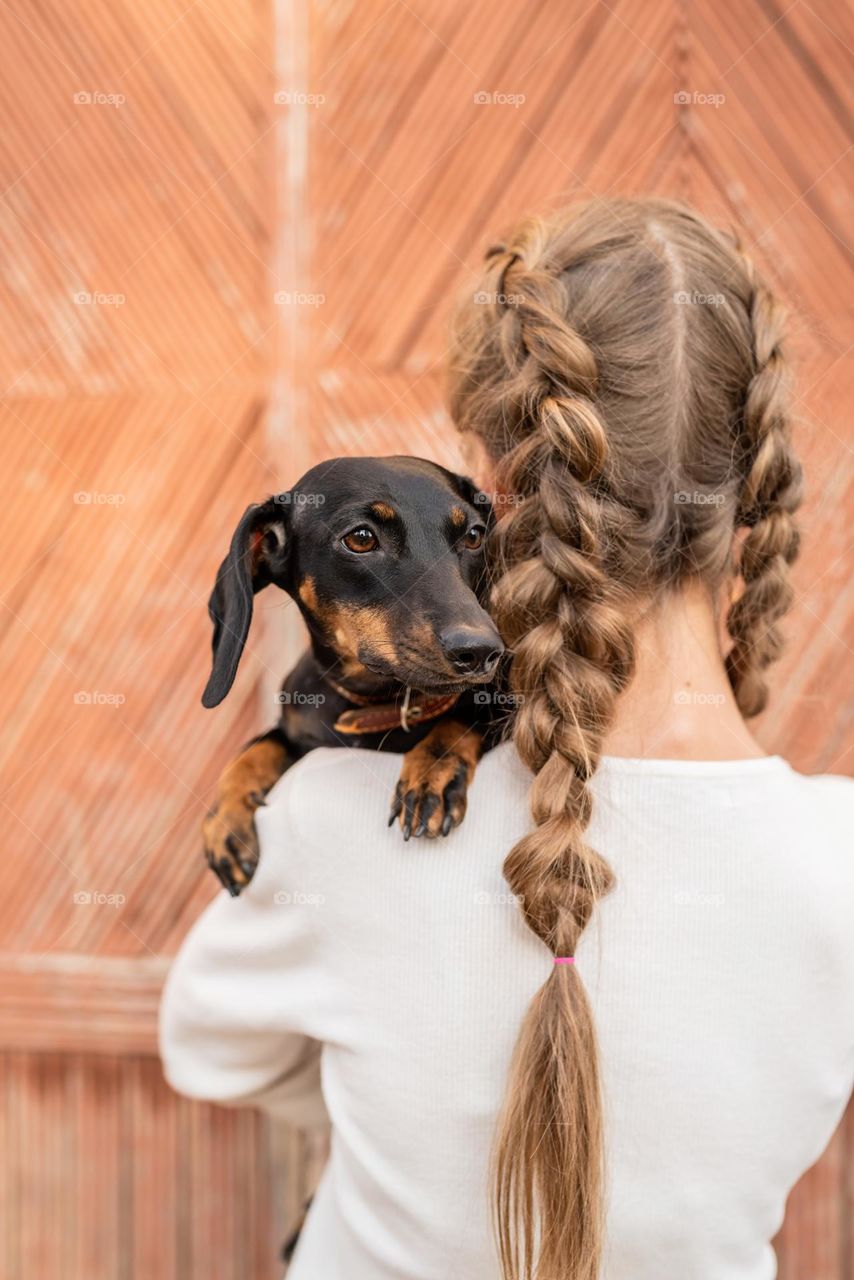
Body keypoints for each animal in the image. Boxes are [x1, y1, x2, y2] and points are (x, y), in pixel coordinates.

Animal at [201, 455, 507, 896]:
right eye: (361, 538)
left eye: (474, 535)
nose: (481, 651)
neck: (374, 707)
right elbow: (258, 747)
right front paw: (224, 819)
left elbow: (463, 718)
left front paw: (431, 774)